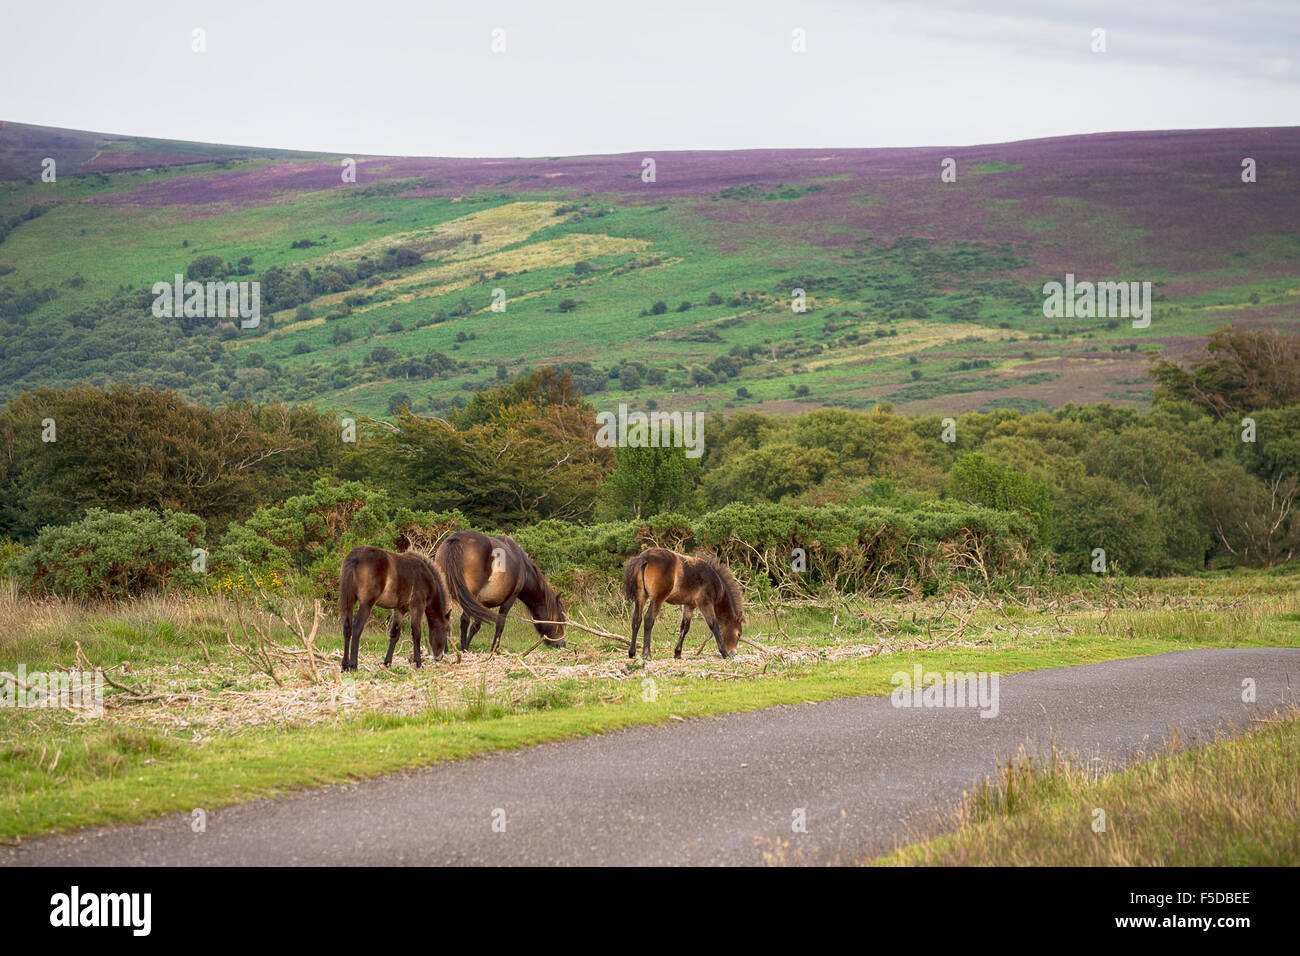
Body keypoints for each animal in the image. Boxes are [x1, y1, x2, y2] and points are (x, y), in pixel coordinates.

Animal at [335, 546, 491, 671]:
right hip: (366, 604)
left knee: (347, 629)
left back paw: (345, 665)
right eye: (446, 630)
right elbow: (416, 633)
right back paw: (353, 665)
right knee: (356, 628)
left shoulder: (400, 609)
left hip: (350, 602)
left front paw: (387, 663)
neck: (426, 578)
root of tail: (354, 558)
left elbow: (395, 634)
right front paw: (419, 663)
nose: (439, 656)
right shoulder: (418, 606)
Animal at [434, 530, 566, 658]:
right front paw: (493, 650)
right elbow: (500, 624)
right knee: (464, 620)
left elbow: (476, 627)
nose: (562, 644)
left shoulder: (481, 604)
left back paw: (445, 649)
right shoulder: (510, 599)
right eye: (559, 619)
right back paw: (462, 650)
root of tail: (457, 539)